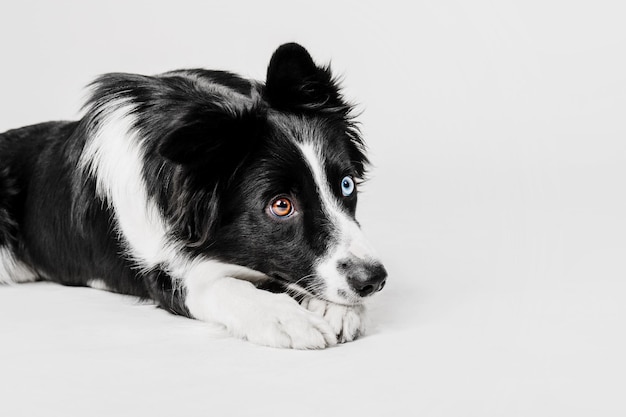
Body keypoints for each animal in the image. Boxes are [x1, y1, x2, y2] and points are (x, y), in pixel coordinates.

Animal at [0, 43, 386, 348]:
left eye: (347, 185)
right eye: (280, 206)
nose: (374, 280)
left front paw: (333, 308)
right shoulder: (161, 270)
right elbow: (217, 285)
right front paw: (284, 317)